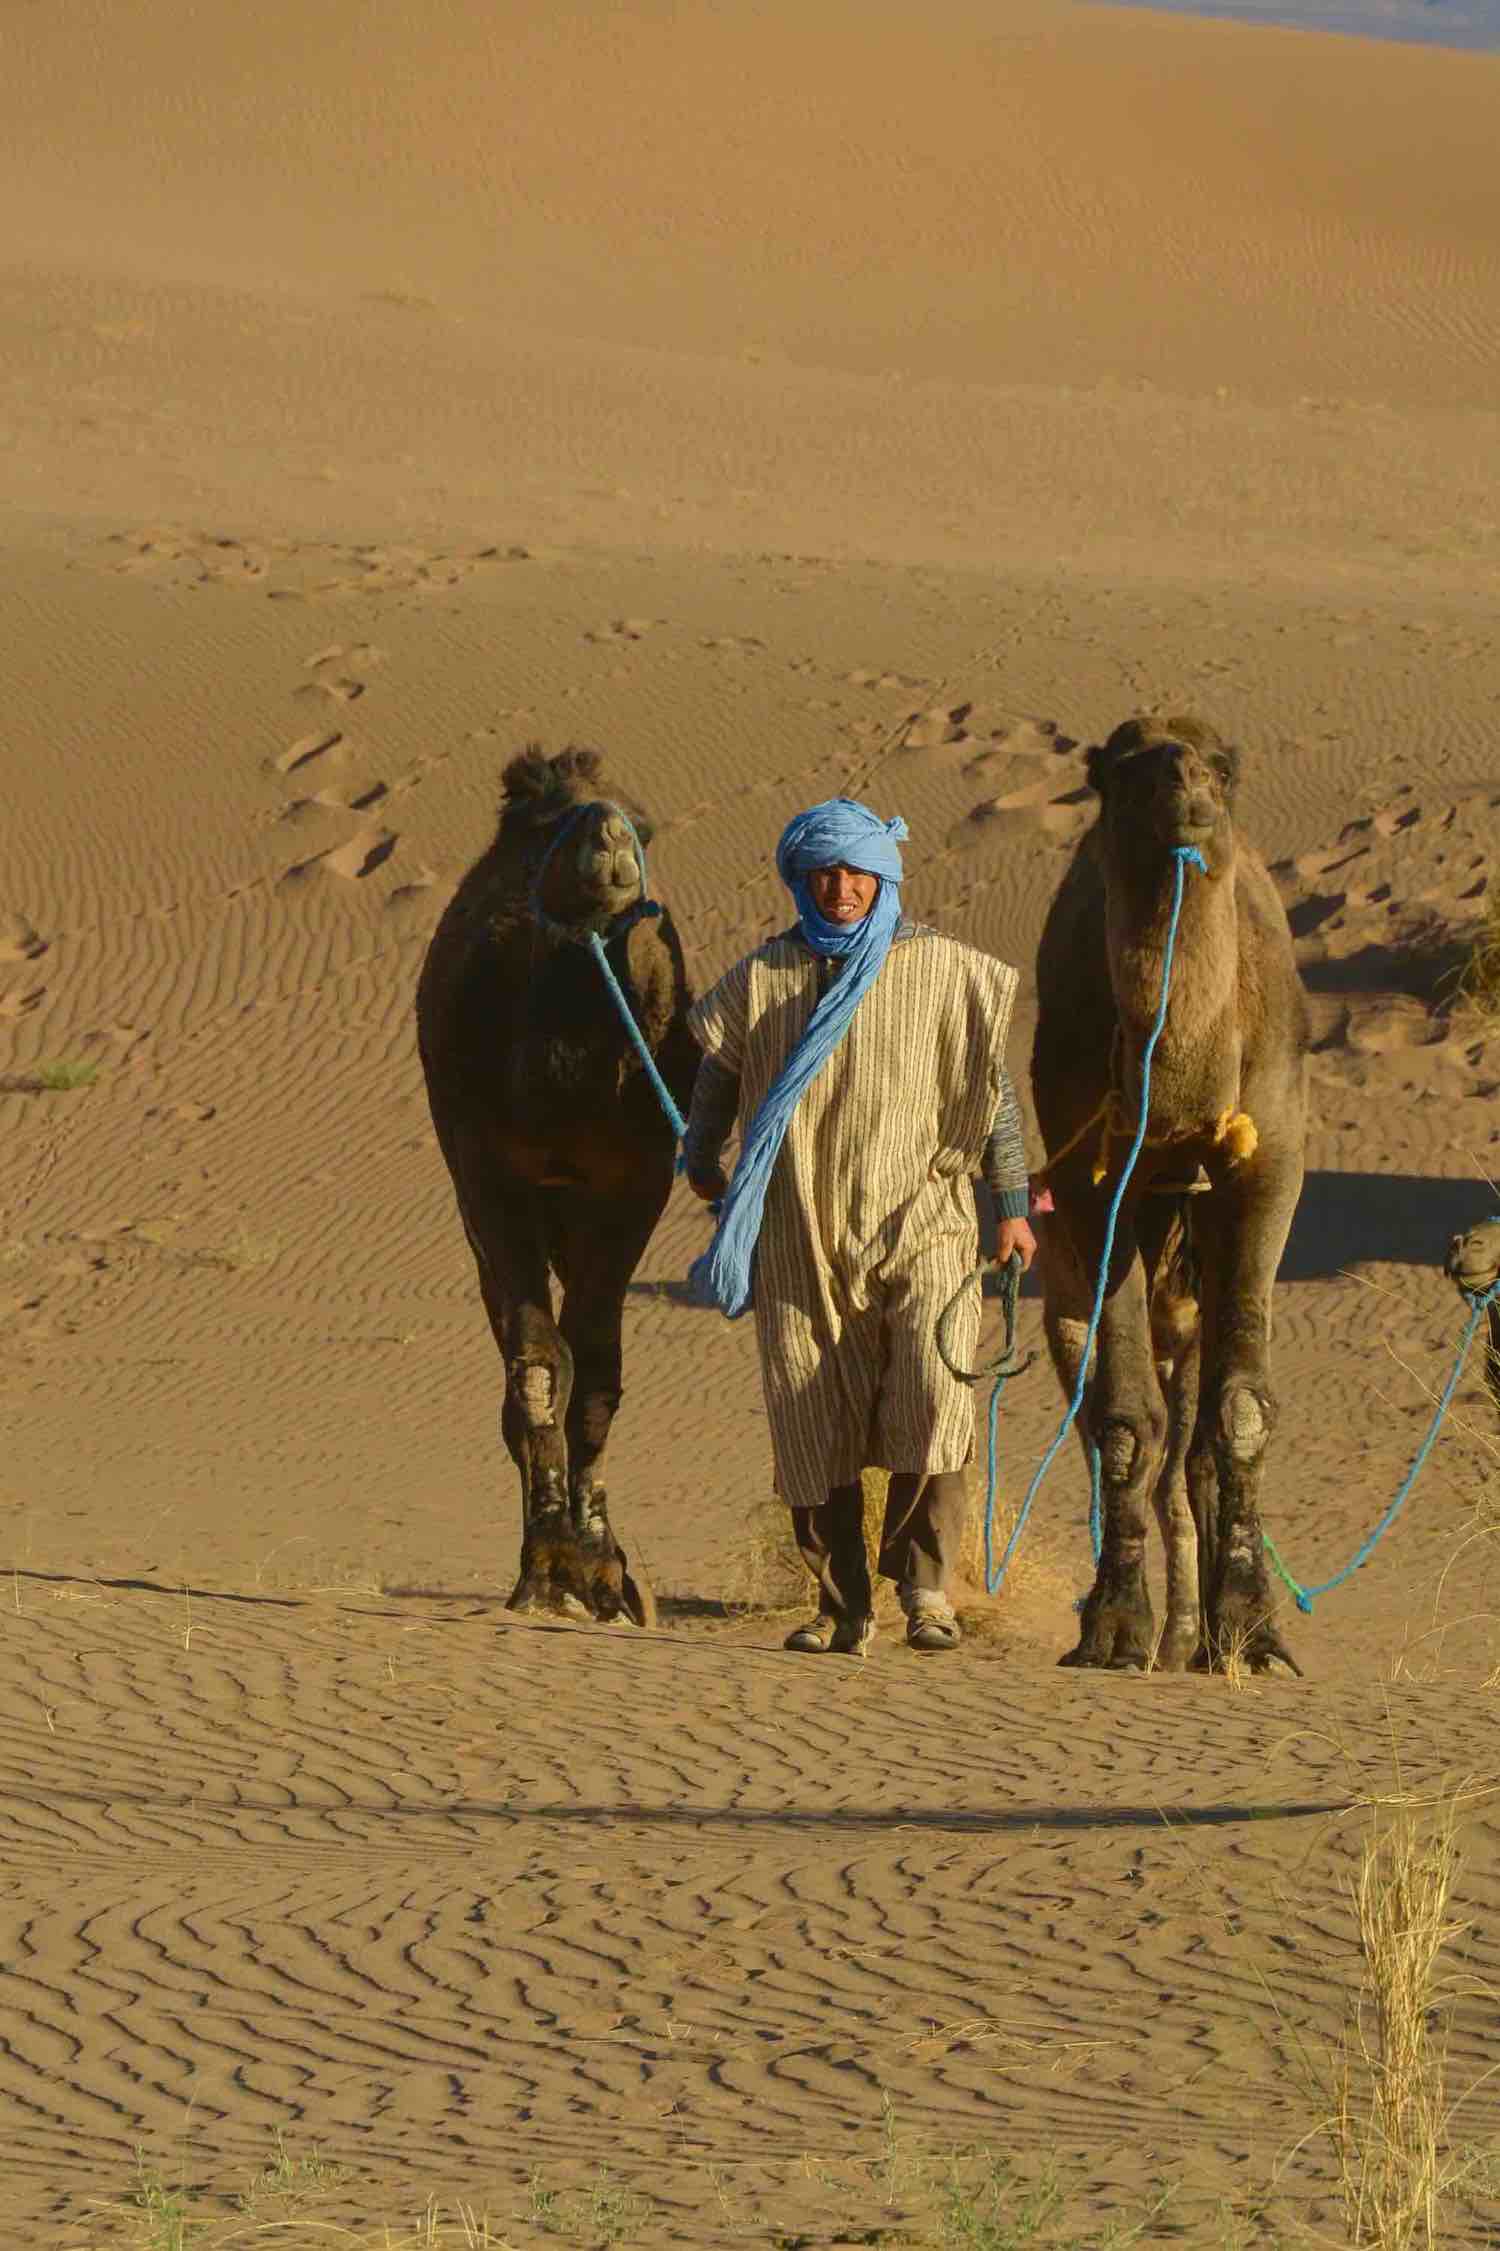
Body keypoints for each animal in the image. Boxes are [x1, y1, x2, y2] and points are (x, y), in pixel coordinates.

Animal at [412, 747, 698, 1629]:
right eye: (545, 832)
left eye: (645, 825)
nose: (608, 837)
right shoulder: (488, 1176)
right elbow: (539, 1365)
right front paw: (549, 1569)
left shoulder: (636, 1183)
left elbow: (597, 1373)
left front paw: (603, 1571)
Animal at [1027, 715, 1306, 1674]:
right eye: (1123, 770)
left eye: (1222, 767)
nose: (1187, 788)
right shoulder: (1088, 1179)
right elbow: (1122, 1423)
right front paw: (1115, 1626)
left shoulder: (1270, 1156)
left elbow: (1243, 1406)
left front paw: (1254, 1627)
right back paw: (1168, 1629)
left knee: (1194, 1431)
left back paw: (1202, 1631)